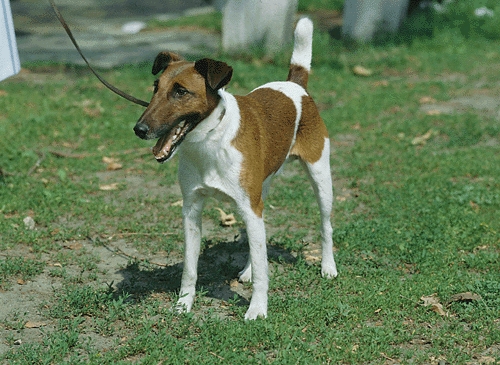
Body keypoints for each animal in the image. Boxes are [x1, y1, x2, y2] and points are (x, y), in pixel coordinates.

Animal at [134, 17, 336, 318]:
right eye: (155, 88)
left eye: (181, 91)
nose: (139, 129)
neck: (210, 140)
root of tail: (295, 85)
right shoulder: (192, 209)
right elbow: (190, 268)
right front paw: (184, 303)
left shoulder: (250, 208)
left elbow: (264, 272)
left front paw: (258, 310)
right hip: (261, 190)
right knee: (259, 243)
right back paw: (250, 270)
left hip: (320, 178)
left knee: (325, 226)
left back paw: (328, 267)